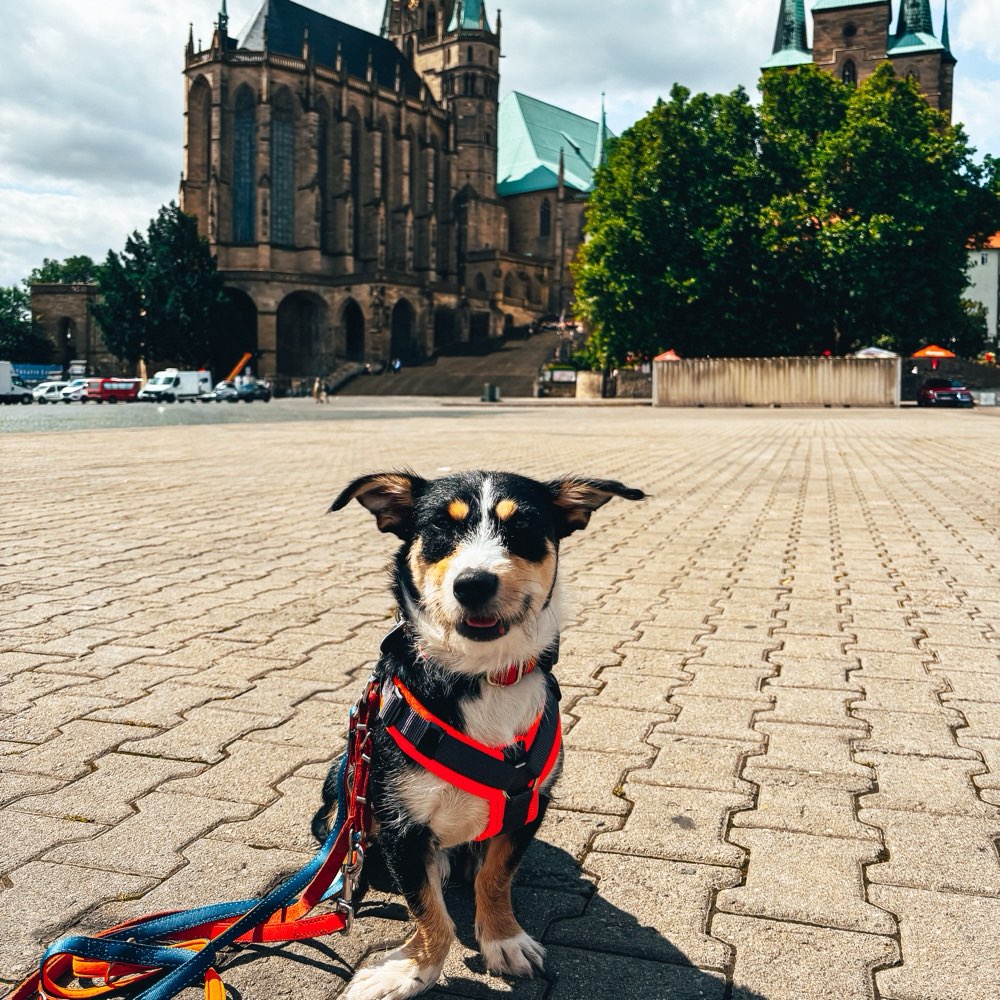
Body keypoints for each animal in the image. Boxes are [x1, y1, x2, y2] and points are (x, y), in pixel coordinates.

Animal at [316, 470, 648, 1000]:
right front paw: (410, 971)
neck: (482, 676)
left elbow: (495, 879)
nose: (473, 584)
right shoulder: (400, 823)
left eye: (523, 527)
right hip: (344, 783)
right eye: (439, 528)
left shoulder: (527, 807)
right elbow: (429, 910)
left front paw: (504, 940)